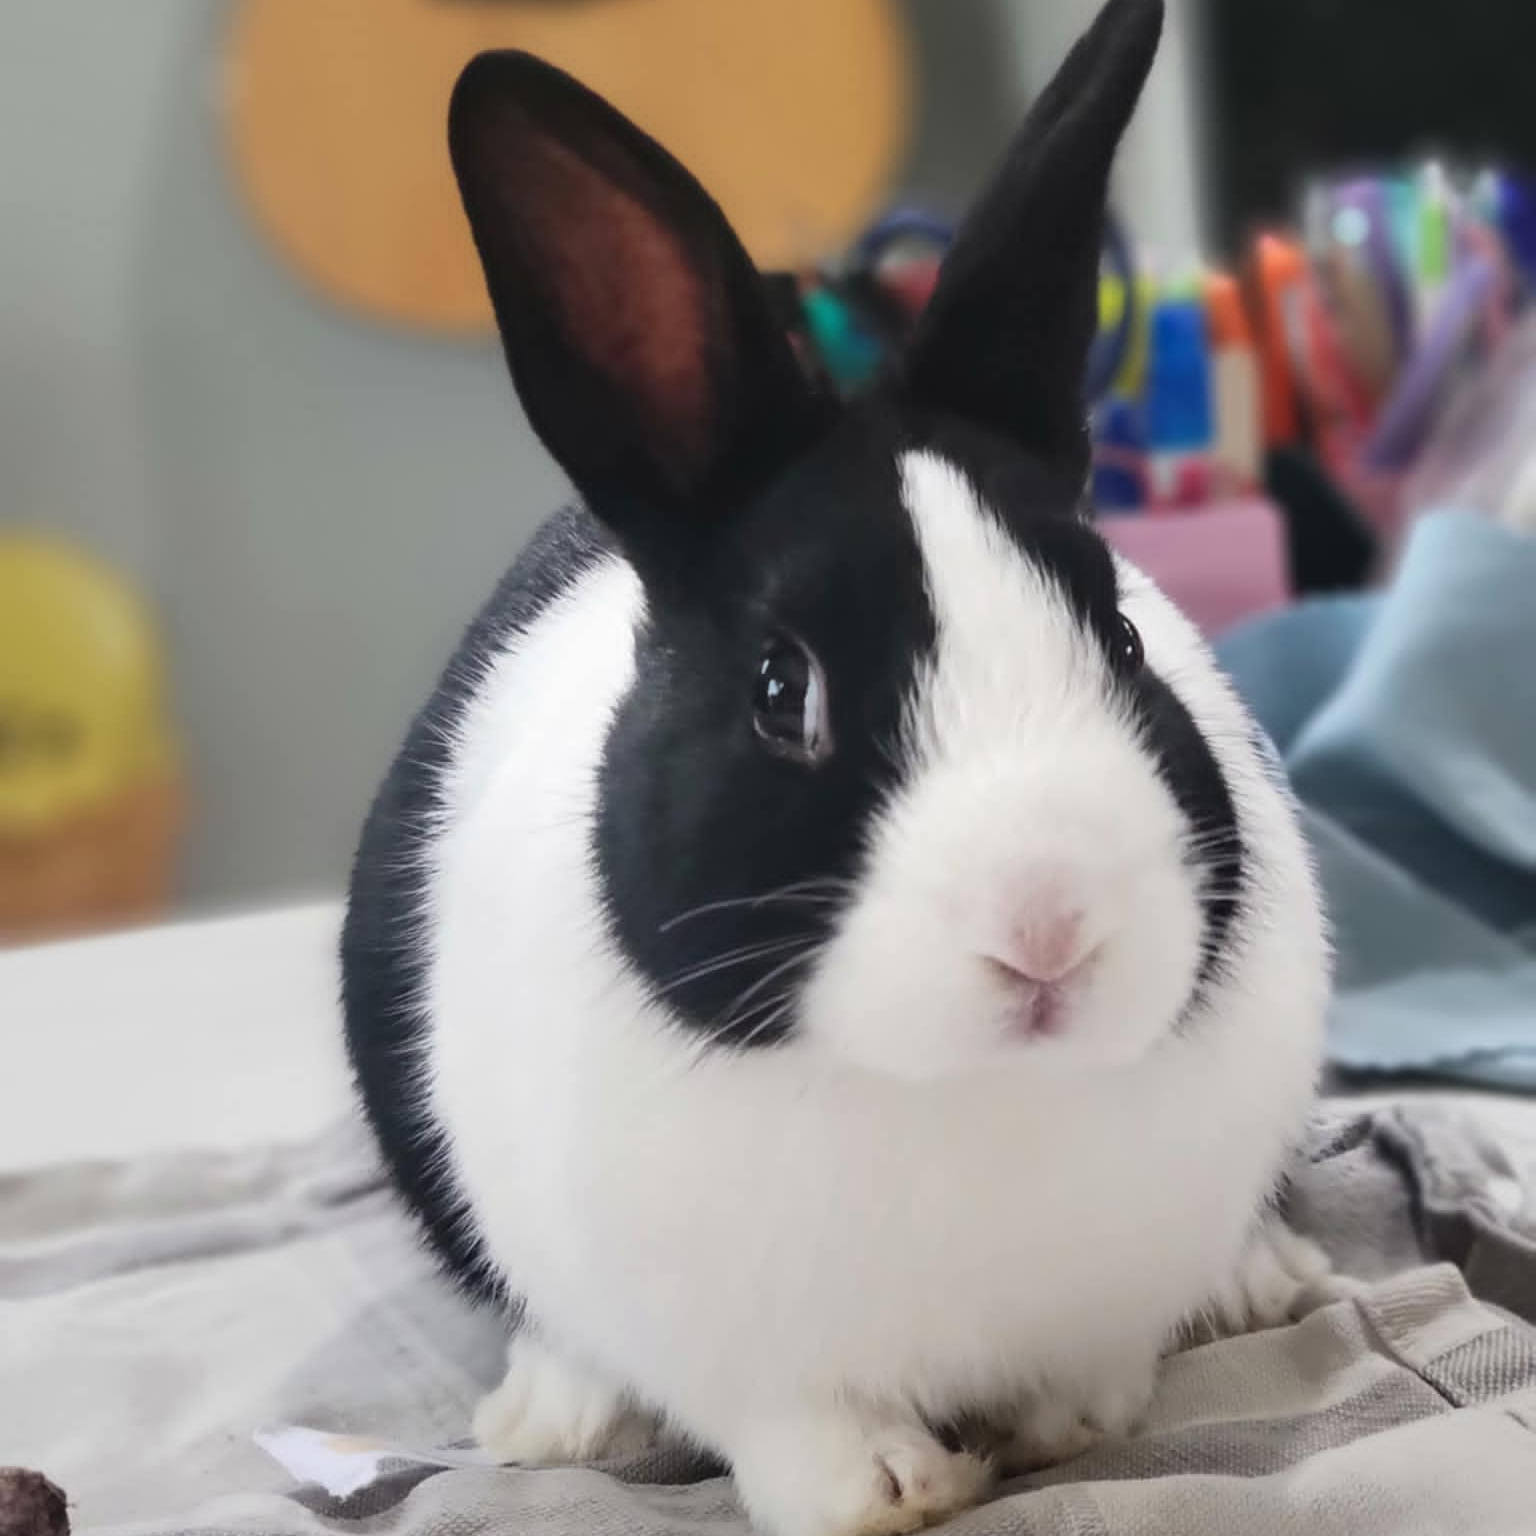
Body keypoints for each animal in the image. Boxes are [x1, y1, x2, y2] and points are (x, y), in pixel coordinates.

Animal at [341, 2, 1333, 1532]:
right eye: (778, 689)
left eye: (1118, 633)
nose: (1048, 930)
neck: (956, 1091)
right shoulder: (733, 1352)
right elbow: (797, 1432)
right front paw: (887, 1490)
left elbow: (1095, 1379)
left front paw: (1061, 1425)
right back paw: (550, 1417)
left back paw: (1261, 1282)